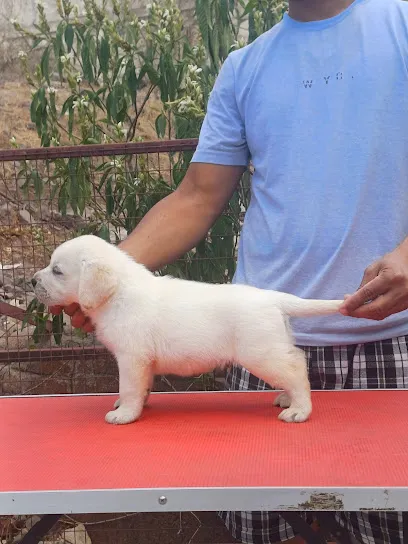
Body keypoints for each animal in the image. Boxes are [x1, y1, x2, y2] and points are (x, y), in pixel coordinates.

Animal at [33, 234, 342, 424]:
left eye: (57, 271)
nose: (32, 281)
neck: (118, 292)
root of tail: (273, 298)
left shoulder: (132, 358)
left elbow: (129, 388)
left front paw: (126, 414)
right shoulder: (143, 362)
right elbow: (142, 388)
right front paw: (134, 406)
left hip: (261, 353)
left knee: (296, 368)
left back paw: (299, 409)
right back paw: (288, 399)